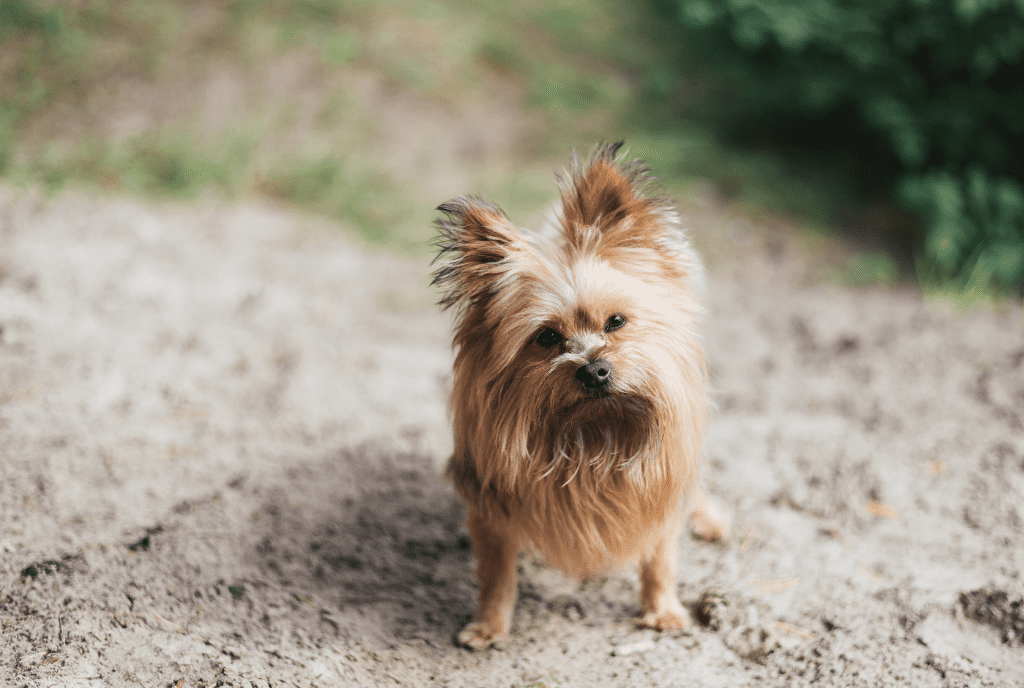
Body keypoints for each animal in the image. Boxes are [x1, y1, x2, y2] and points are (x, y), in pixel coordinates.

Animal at [432, 141, 729, 651]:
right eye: (548, 337)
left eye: (616, 321)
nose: (594, 369)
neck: (593, 434)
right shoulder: (491, 506)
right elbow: (496, 574)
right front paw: (489, 626)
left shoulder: (659, 490)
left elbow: (661, 559)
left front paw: (663, 611)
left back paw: (708, 518)